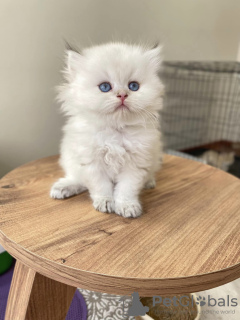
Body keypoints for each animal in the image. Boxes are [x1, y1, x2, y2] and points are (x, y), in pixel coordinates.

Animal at [49, 42, 164, 218]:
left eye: (133, 86)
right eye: (105, 87)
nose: (122, 94)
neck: (115, 131)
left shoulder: (135, 163)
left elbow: (126, 189)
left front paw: (127, 206)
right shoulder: (92, 162)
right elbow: (100, 187)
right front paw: (105, 202)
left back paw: (149, 182)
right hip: (71, 160)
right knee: (78, 179)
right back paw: (63, 188)